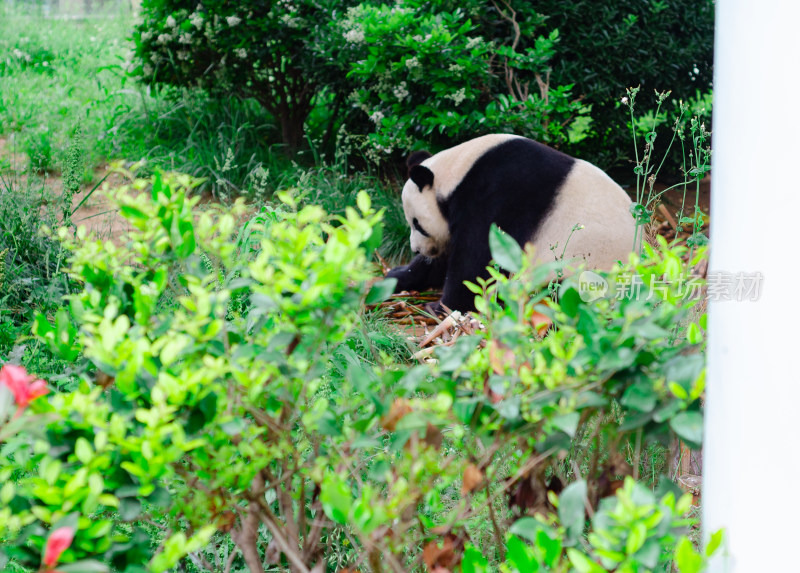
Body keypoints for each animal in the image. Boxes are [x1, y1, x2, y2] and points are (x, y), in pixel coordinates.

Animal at [388, 134, 636, 312]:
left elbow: (476, 257)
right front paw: (397, 276)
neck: (458, 171)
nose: (416, 249)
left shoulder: (497, 194)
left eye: (417, 224)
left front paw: (442, 306)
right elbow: (444, 258)